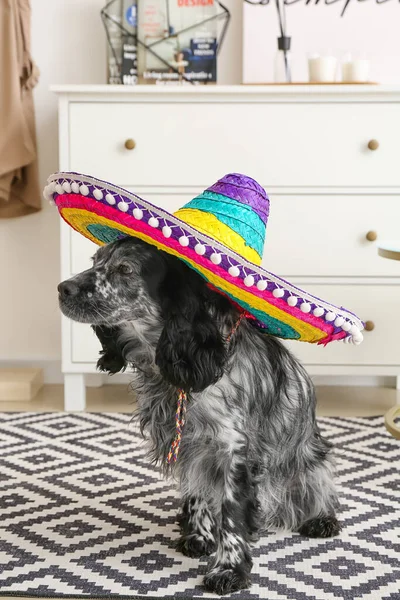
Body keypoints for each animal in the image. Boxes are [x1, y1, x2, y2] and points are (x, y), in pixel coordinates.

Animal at [58, 236, 340, 596]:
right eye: (94, 261)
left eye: (125, 269)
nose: (62, 288)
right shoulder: (190, 444)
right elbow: (197, 492)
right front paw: (199, 536)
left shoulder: (233, 450)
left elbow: (231, 514)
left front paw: (228, 569)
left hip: (310, 458)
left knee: (319, 489)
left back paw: (321, 519)